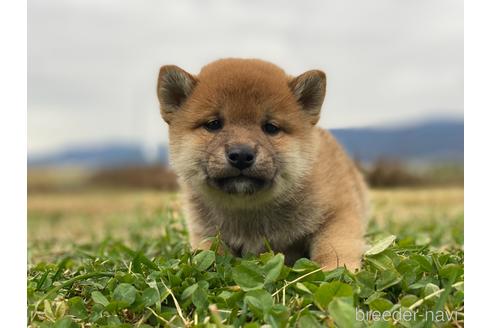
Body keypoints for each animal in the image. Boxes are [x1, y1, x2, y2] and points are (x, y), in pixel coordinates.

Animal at [156, 57, 368, 270]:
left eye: (271, 127)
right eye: (213, 124)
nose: (241, 155)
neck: (248, 210)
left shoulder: (338, 214)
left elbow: (334, 249)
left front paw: (337, 269)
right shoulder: (206, 233)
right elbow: (210, 255)